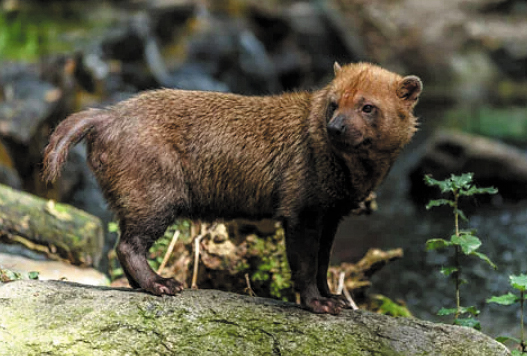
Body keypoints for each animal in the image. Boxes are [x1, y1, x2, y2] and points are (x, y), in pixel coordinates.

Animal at [45, 62, 424, 314]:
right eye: (334, 102)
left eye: (368, 106)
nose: (336, 127)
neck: (350, 175)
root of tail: (106, 114)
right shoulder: (300, 207)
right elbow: (303, 262)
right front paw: (319, 304)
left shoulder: (332, 214)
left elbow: (323, 262)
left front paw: (334, 299)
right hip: (154, 196)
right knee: (128, 245)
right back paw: (162, 284)